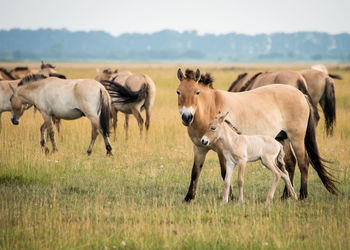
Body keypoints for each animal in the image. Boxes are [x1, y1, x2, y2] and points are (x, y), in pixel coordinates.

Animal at [176, 68, 338, 201]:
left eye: (197, 92)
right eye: (178, 92)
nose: (187, 117)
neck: (210, 107)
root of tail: (301, 94)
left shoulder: (222, 150)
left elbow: (224, 173)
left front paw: (231, 197)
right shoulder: (199, 148)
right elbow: (195, 172)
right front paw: (188, 197)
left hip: (296, 138)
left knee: (303, 162)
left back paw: (303, 195)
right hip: (282, 138)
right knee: (290, 163)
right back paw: (285, 195)